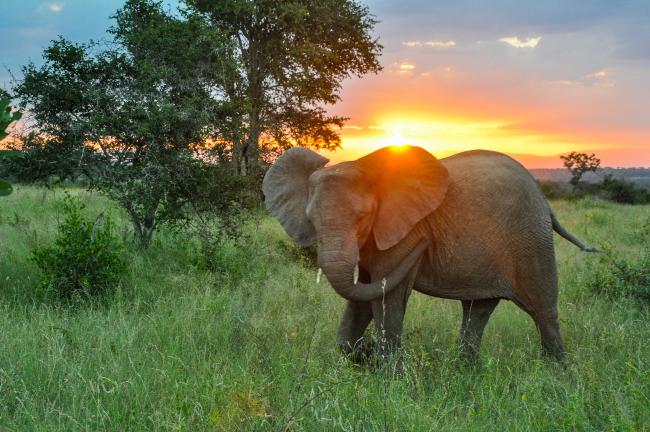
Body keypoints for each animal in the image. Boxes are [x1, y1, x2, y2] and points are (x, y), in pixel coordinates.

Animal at [260, 145, 596, 362]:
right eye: (311, 219)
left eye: (363, 217)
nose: (367, 350)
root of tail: (544, 200)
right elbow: (364, 293)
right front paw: (362, 354)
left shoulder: (404, 232)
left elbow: (385, 294)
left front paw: (388, 375)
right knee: (478, 309)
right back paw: (464, 371)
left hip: (531, 239)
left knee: (543, 311)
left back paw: (556, 373)